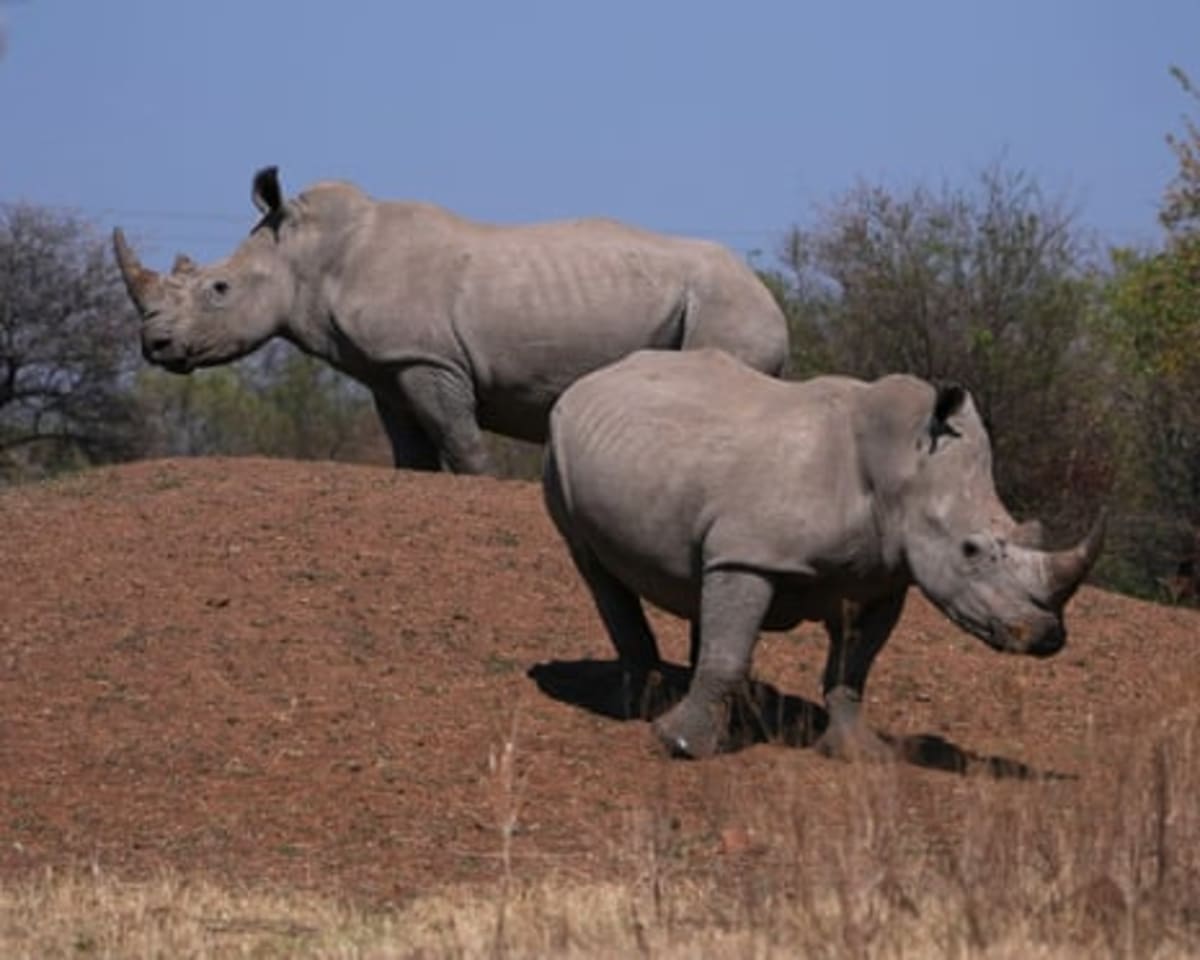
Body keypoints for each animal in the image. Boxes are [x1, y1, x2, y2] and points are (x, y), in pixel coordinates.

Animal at [112, 167, 789, 474]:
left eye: (218, 288)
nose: (155, 344)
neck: (311, 255)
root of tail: (771, 297)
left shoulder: (426, 357)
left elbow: (461, 442)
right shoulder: (387, 368)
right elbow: (411, 451)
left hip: (726, 306)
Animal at [543, 349, 1105, 760]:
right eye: (970, 549)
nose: (1046, 636)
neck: (902, 464)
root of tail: (599, 373)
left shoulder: (883, 577)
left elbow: (852, 668)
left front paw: (858, 753)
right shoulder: (752, 553)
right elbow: (731, 650)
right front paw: (679, 746)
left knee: (702, 584)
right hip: (558, 443)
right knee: (594, 565)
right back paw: (646, 704)